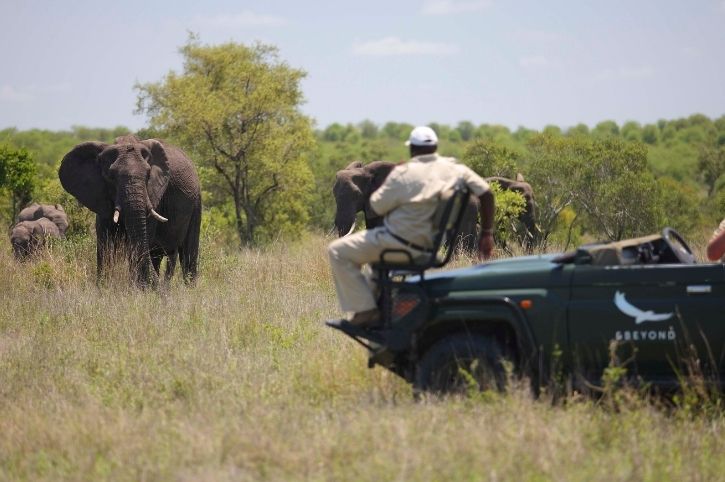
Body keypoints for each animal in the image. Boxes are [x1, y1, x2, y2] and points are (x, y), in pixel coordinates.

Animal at [58, 135, 201, 286]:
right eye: (111, 177)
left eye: (148, 175)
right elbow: (105, 245)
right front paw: (103, 287)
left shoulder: (154, 197)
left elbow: (139, 244)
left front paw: (138, 288)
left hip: (196, 201)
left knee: (188, 251)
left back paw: (189, 287)